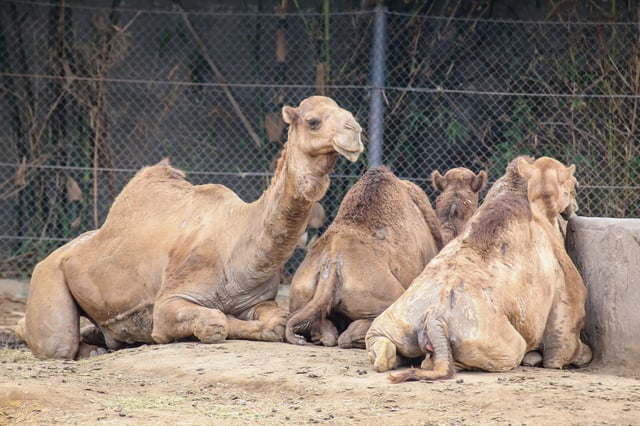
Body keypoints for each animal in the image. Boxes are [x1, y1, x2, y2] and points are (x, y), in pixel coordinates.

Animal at [15, 95, 364, 360]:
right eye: (313, 121)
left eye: (347, 112)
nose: (356, 132)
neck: (240, 240)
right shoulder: (170, 300)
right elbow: (214, 323)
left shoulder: (255, 300)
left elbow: (275, 321)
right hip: (49, 275)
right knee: (57, 344)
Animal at [366, 156, 592, 381]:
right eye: (573, 186)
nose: (573, 206)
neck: (543, 214)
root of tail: (434, 318)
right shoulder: (566, 316)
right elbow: (565, 352)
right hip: (500, 346)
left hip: (390, 323)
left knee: (383, 348)